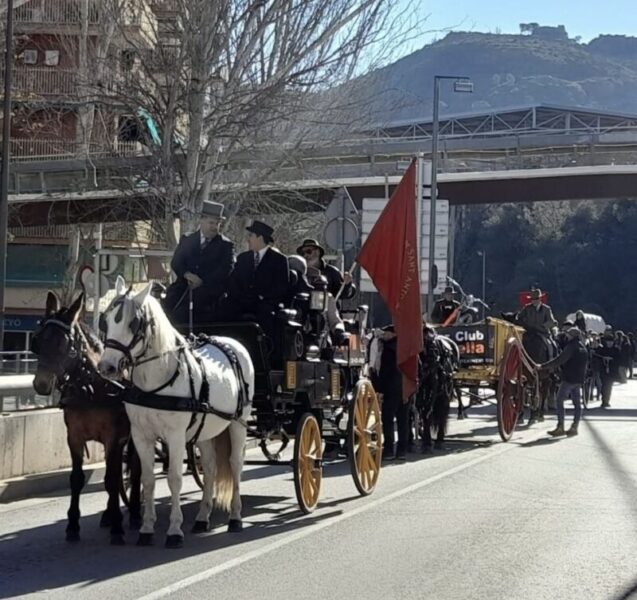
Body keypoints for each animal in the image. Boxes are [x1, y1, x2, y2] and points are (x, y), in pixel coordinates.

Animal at [31, 290, 140, 544]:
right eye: (38, 341)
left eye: (65, 345)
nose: (41, 384)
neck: (91, 386)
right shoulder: (74, 436)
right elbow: (77, 479)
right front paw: (73, 524)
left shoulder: (113, 437)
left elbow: (110, 479)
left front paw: (117, 528)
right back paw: (110, 514)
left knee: (136, 469)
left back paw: (135, 513)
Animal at [98, 276, 252, 548]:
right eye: (105, 321)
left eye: (133, 323)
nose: (106, 367)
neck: (156, 380)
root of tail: (233, 343)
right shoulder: (141, 435)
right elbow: (148, 480)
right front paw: (146, 529)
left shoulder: (176, 436)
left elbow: (174, 479)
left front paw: (174, 531)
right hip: (207, 430)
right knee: (210, 467)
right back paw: (202, 518)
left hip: (238, 422)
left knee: (235, 464)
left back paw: (235, 518)